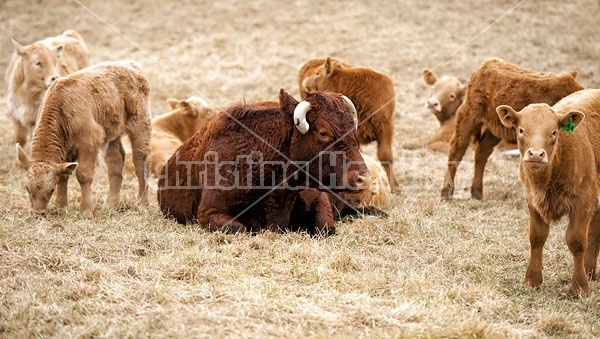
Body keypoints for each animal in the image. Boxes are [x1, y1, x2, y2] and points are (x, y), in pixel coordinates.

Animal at [16, 61, 150, 218]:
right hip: (113, 132)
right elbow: (64, 175)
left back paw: (142, 203)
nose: (38, 213)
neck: (61, 107)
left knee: (140, 161)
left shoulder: (89, 141)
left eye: (51, 189)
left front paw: (86, 210)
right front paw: (61, 206)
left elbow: (83, 175)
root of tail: (131, 65)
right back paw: (111, 204)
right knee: (115, 161)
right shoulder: (66, 149)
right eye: (27, 187)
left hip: (140, 125)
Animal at [157, 89, 368, 236]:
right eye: (323, 132)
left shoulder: (319, 198)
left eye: (353, 128)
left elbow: (326, 228)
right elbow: (241, 229)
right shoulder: (209, 212)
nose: (362, 178)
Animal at [440, 58, 580, 199]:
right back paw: (446, 194)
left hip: (494, 130)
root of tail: (488, 64)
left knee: (482, 151)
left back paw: (477, 193)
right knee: (457, 149)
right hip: (469, 115)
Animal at [496, 89, 600, 296]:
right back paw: (590, 270)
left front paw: (579, 287)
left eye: (554, 132)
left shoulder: (584, 200)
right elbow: (537, 237)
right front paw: (532, 280)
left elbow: (576, 241)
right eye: (521, 130)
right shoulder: (531, 199)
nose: (536, 154)